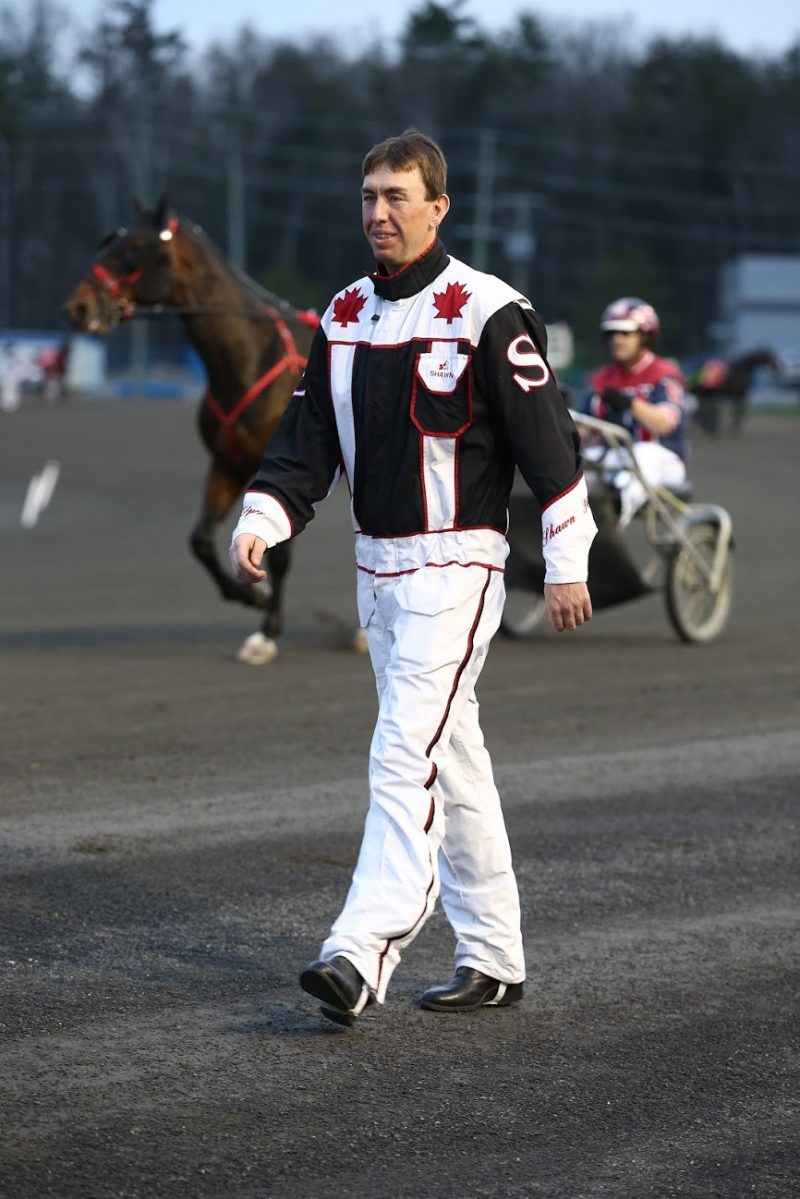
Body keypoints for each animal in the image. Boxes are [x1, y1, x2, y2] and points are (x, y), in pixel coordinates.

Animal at [63, 196, 319, 666]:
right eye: (111, 242)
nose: (78, 307)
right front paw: (250, 595)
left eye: (134, 250)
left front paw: (267, 632)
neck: (249, 357)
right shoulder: (229, 463)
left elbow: (280, 553)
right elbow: (200, 540)